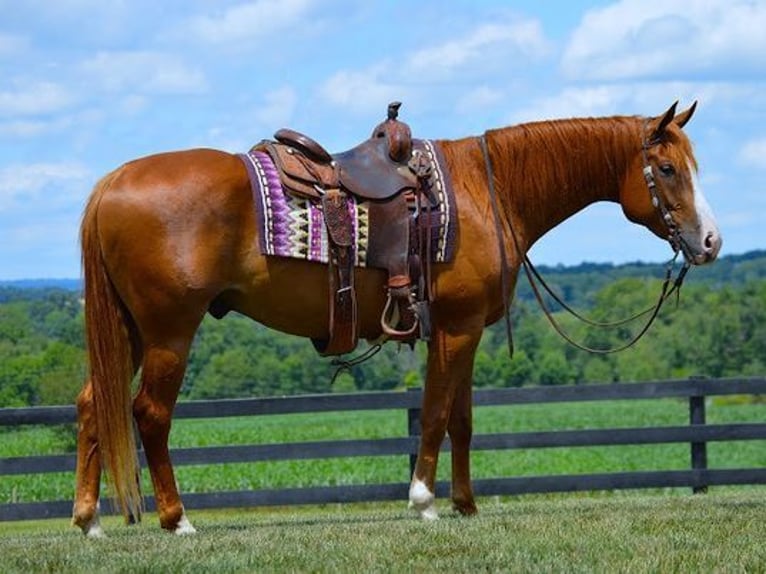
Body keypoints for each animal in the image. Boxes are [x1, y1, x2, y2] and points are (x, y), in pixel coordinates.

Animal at [70, 101, 720, 536]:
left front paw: (466, 505)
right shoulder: (456, 329)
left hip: (129, 331)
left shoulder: (460, 332)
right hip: (169, 332)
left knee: (93, 406)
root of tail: (111, 184)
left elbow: (462, 421)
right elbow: (433, 415)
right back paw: (176, 519)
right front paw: (425, 501)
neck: (486, 192)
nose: (711, 242)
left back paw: (88, 519)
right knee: (149, 414)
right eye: (667, 170)